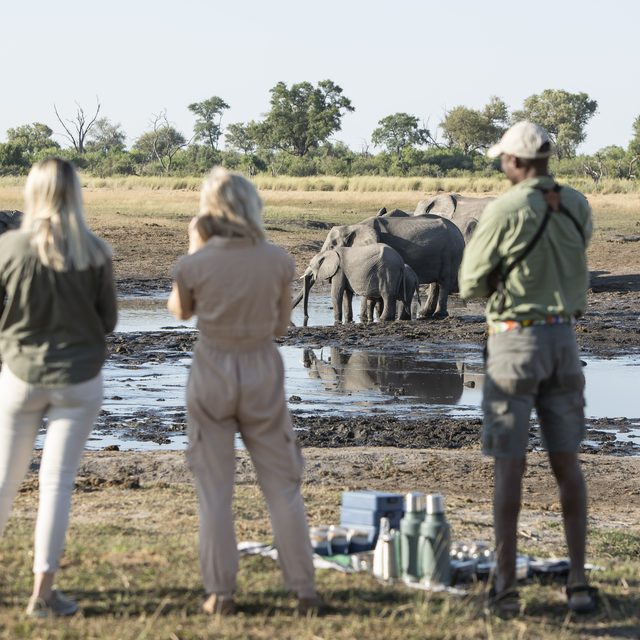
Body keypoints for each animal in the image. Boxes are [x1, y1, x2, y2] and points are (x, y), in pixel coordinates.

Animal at [317, 213, 465, 318]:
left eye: (331, 246)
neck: (354, 227)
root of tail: (459, 232)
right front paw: (367, 316)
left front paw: (364, 317)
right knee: (436, 283)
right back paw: (424, 313)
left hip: (451, 254)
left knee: (444, 281)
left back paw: (438, 315)